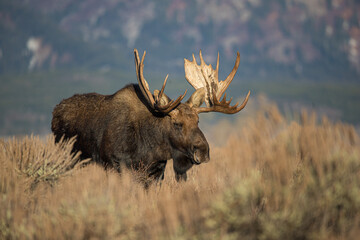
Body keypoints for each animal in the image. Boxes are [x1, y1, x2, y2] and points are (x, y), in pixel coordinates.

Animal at [52, 49, 250, 183]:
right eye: (177, 123)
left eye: (198, 121)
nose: (203, 151)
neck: (151, 148)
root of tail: (55, 111)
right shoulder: (115, 165)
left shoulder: (156, 173)